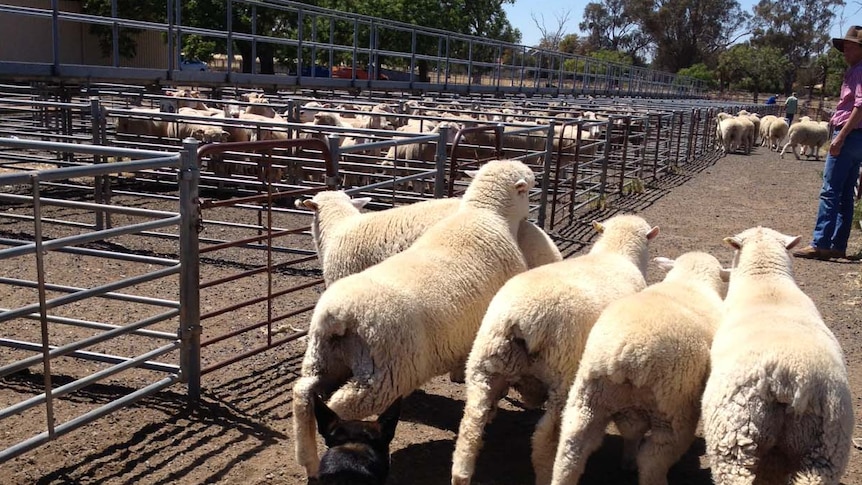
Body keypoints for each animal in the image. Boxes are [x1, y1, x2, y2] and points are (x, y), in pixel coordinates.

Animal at [452, 216, 660, 484]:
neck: (616, 253)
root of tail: (520, 318)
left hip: (485, 362)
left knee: (471, 424)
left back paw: (461, 474)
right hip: (562, 377)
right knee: (545, 437)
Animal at [552, 251, 728, 484]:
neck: (690, 281)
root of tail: (627, 355)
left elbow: (632, 432)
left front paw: (627, 461)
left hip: (587, 397)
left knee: (571, 449)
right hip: (674, 411)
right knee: (653, 460)